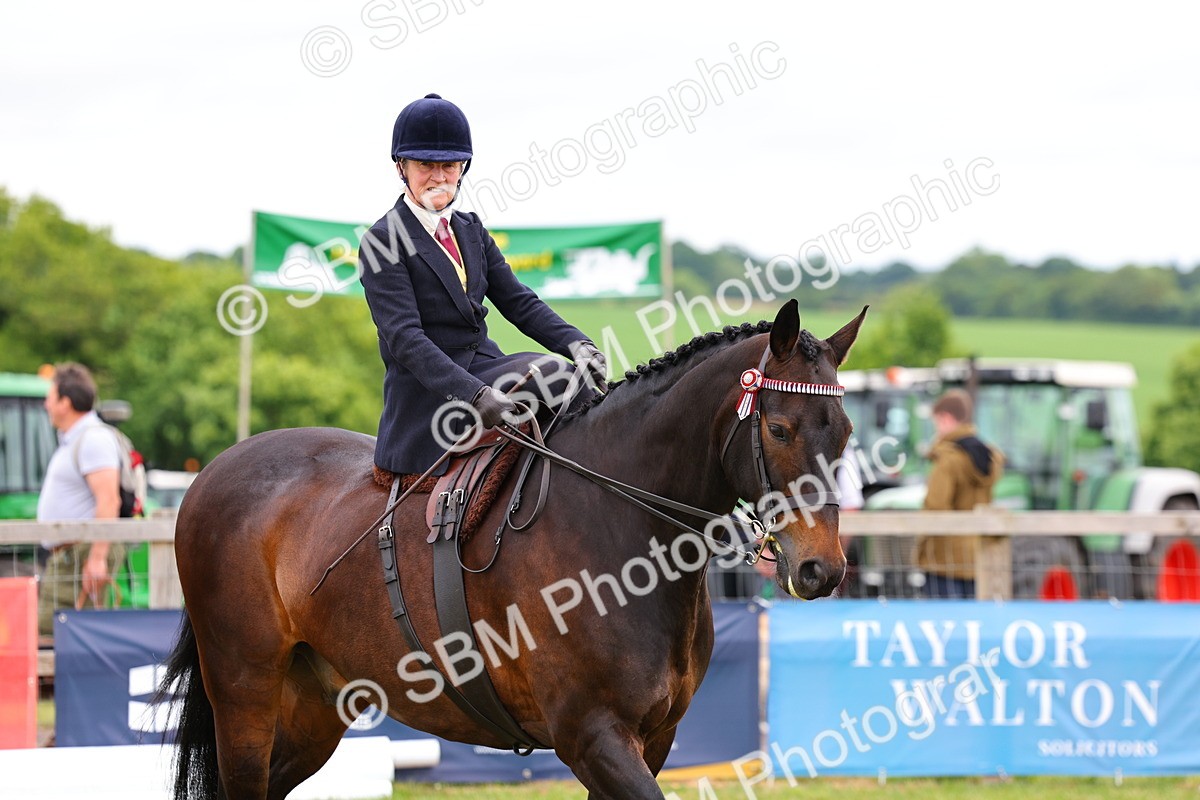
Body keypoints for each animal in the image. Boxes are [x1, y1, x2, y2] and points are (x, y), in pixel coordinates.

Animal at [160, 299, 866, 799]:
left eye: (846, 432)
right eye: (780, 429)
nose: (822, 569)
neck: (621, 528)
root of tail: (214, 471)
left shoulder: (652, 740)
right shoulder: (594, 738)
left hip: (314, 705)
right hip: (245, 694)